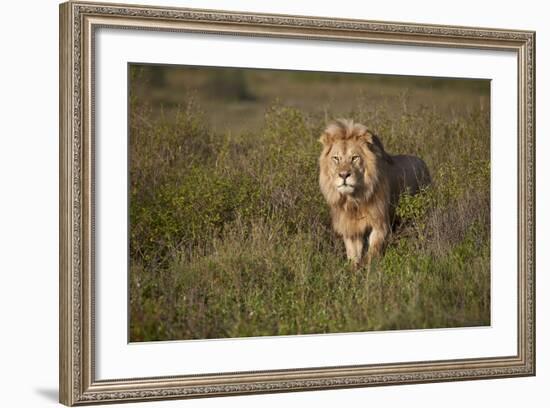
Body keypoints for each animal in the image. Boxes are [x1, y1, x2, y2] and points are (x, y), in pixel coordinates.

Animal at [320, 118, 432, 264]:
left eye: (354, 158)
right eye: (336, 158)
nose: (344, 175)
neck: (354, 200)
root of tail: (423, 162)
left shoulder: (380, 224)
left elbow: (372, 254)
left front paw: (370, 269)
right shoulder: (351, 229)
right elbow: (353, 257)